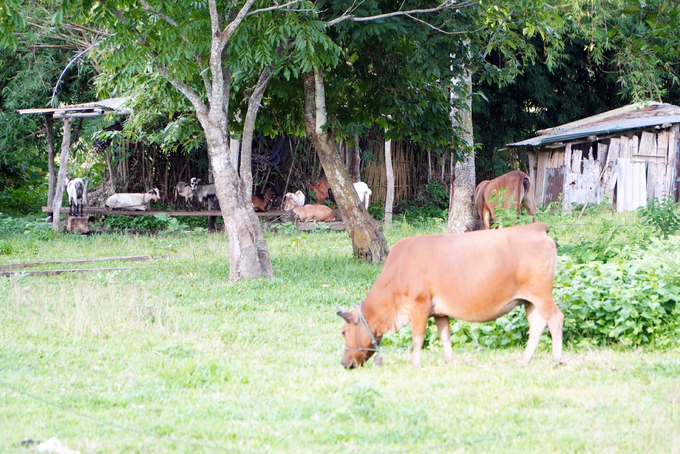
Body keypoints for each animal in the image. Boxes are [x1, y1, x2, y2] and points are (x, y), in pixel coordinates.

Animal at [336, 223, 564, 368]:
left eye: (344, 332)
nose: (344, 363)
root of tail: (537, 228)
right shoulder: (439, 312)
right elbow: (445, 335)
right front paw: (449, 361)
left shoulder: (419, 306)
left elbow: (417, 338)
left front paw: (414, 364)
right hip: (528, 300)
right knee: (537, 325)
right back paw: (525, 360)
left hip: (541, 295)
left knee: (555, 318)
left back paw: (556, 359)